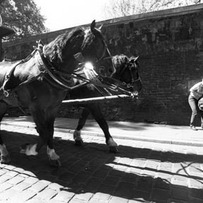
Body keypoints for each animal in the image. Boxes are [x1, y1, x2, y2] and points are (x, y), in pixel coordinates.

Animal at [0, 20, 115, 167]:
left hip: (3, 104)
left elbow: (50, 131)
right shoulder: (35, 107)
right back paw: (4, 153)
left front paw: (52, 154)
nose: (111, 69)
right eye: (99, 43)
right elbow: (44, 133)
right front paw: (29, 149)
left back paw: (4, 152)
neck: (47, 70)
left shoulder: (53, 107)